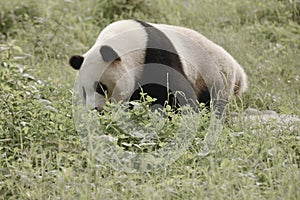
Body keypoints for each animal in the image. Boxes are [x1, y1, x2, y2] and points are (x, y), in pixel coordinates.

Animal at [69, 19, 247, 116]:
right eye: (83, 92)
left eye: (101, 87)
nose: (95, 110)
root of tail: (239, 73)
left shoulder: (156, 53)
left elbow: (175, 92)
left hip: (213, 77)